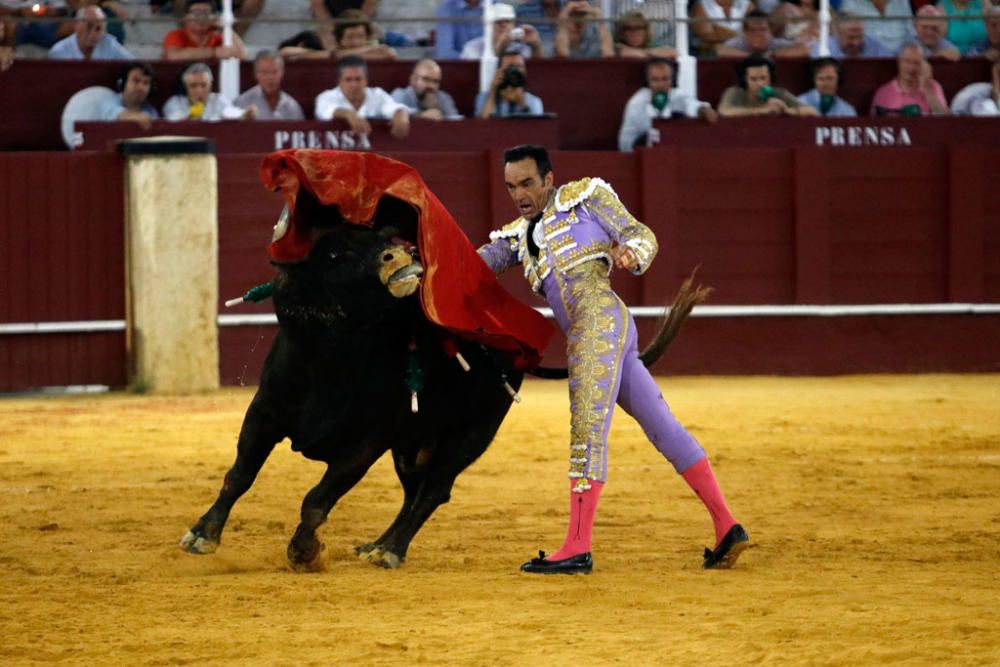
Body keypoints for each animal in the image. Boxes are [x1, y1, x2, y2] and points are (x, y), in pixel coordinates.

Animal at [182, 193, 712, 568]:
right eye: (333, 254)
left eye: (382, 239)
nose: (399, 257)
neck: (333, 357)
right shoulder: (265, 413)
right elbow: (238, 475)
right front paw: (202, 535)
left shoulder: (365, 442)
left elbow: (318, 498)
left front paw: (304, 551)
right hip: (413, 443)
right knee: (414, 491)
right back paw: (378, 545)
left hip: (466, 437)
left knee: (434, 490)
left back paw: (390, 551)